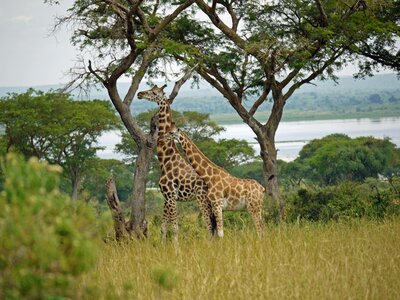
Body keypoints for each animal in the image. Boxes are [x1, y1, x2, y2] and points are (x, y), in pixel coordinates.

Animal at [137, 85, 216, 240]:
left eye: (154, 92)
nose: (139, 93)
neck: (166, 159)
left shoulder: (171, 195)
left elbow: (174, 227)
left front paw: (175, 246)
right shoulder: (166, 196)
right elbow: (163, 227)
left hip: (202, 199)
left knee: (209, 225)